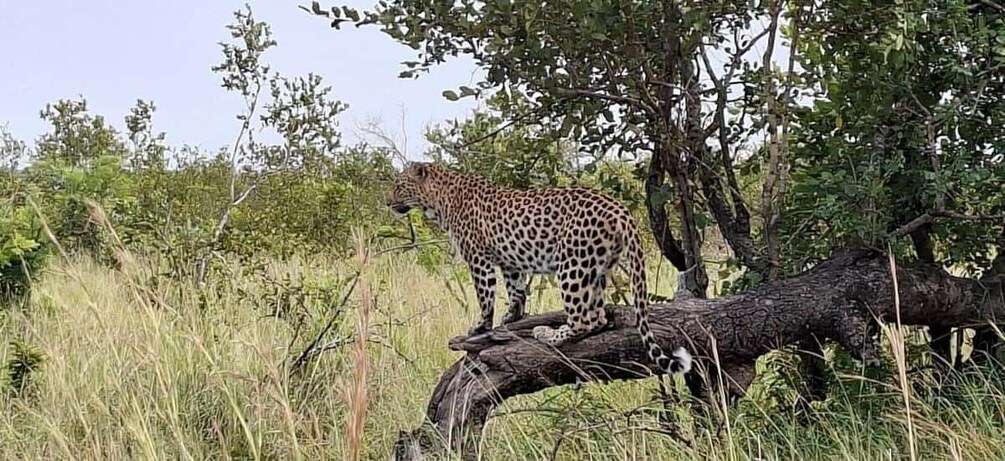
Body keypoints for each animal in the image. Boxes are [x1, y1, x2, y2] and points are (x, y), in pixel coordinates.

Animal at [386, 161, 692, 375]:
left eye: (399, 186)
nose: (388, 202)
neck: (439, 200)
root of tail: (621, 210)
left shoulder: (479, 258)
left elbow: (485, 296)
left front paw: (480, 326)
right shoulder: (509, 262)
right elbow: (516, 290)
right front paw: (512, 317)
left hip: (573, 266)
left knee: (583, 319)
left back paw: (547, 334)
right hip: (597, 268)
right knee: (599, 317)